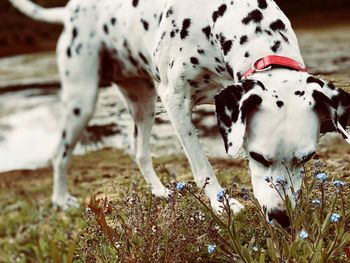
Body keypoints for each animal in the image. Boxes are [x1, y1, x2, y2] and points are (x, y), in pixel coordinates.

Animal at [10, 0, 350, 227]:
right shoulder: (175, 100)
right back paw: (60, 200)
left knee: (139, 151)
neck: (220, 19)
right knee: (61, 153)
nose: (282, 218)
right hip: (82, 99)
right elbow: (202, 166)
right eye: (256, 156)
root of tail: (71, 10)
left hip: (144, 102)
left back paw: (159, 191)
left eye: (307, 158)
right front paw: (222, 204)